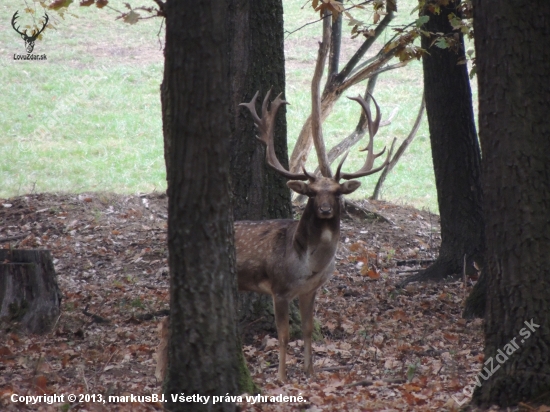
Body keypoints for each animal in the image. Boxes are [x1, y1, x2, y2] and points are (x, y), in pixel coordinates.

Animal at [237, 88, 396, 382]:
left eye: (336, 192)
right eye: (311, 193)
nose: (324, 209)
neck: (309, 265)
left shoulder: (310, 290)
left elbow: (308, 329)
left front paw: (310, 371)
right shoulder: (279, 288)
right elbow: (284, 335)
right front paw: (282, 376)